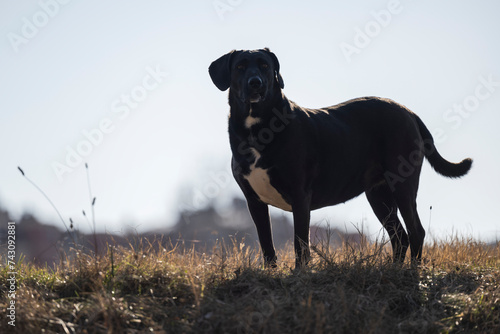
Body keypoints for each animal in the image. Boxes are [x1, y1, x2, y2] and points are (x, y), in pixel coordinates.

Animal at [208, 48, 472, 268]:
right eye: (240, 66)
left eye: (264, 65)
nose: (256, 83)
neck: (258, 127)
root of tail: (408, 111)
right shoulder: (254, 201)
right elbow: (266, 244)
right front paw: (271, 274)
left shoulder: (300, 196)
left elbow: (300, 243)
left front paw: (300, 275)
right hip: (379, 195)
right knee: (400, 236)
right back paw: (395, 270)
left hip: (403, 185)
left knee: (416, 231)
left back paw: (412, 271)